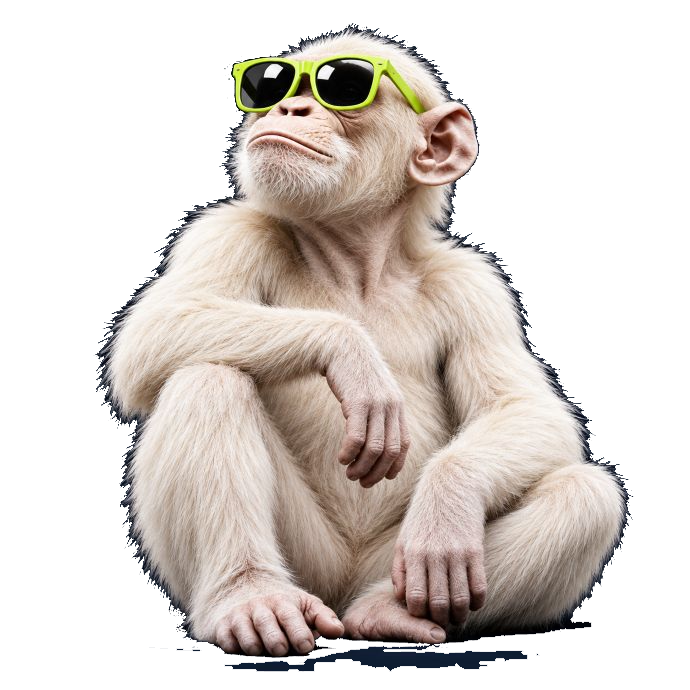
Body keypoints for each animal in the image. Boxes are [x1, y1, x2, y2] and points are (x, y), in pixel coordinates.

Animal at [104, 28, 625, 657]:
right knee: (205, 380)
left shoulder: (475, 289)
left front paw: (449, 499)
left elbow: (525, 409)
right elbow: (156, 328)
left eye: (344, 85)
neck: (355, 262)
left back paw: (389, 611)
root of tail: (340, 597)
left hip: (389, 559)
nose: (290, 107)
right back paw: (250, 598)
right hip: (309, 561)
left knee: (583, 495)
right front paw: (350, 352)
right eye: (271, 83)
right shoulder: (227, 231)